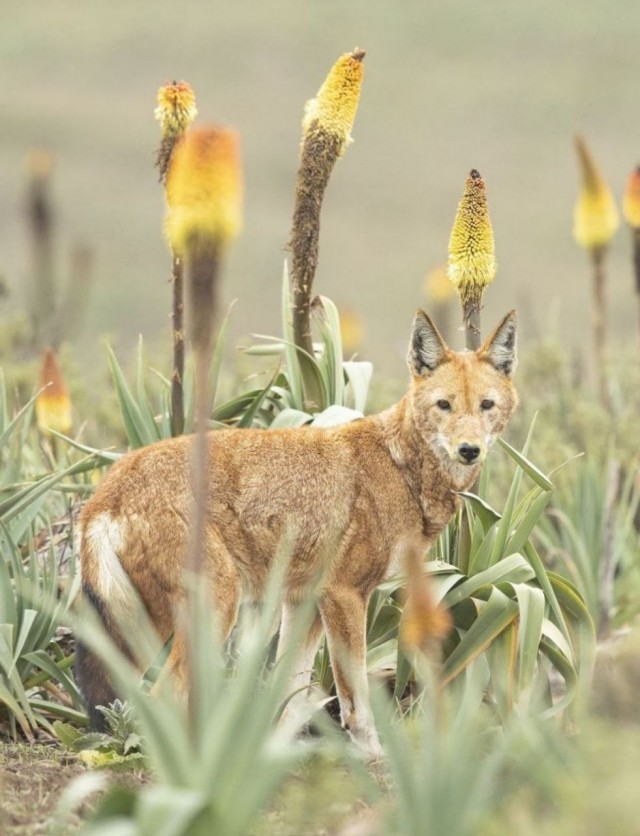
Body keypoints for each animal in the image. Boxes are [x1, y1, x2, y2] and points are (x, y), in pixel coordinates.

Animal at [76, 309, 518, 756]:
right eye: (444, 405)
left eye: (486, 405)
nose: (469, 450)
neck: (400, 467)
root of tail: (106, 492)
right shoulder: (344, 595)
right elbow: (355, 700)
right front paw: (374, 756)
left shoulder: (304, 602)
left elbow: (290, 698)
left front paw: (271, 754)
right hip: (214, 610)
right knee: (162, 697)